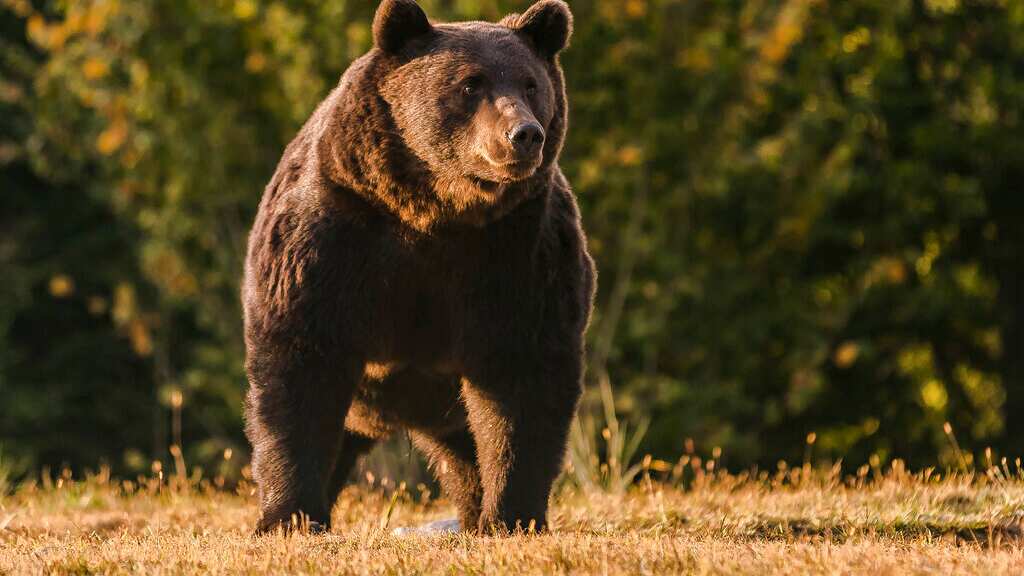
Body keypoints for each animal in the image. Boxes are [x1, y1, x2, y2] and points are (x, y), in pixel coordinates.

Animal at [242, 0, 595, 535]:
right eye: (470, 84)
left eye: (531, 84)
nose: (524, 134)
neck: (435, 211)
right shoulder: (332, 236)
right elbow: (299, 364)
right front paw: (289, 517)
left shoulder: (519, 252)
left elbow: (523, 378)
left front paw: (512, 515)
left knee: (466, 453)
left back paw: (473, 515)